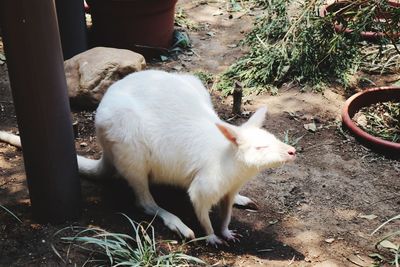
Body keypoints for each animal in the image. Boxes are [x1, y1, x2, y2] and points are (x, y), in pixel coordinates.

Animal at [0, 70, 294, 246]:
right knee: (145, 202)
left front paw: (227, 230)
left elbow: (226, 212)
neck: (231, 161)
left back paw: (241, 201)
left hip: (192, 83)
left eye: (274, 139)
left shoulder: (230, 186)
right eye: (260, 148)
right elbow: (201, 210)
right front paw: (211, 237)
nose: (292, 151)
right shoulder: (204, 185)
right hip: (129, 146)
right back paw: (177, 224)